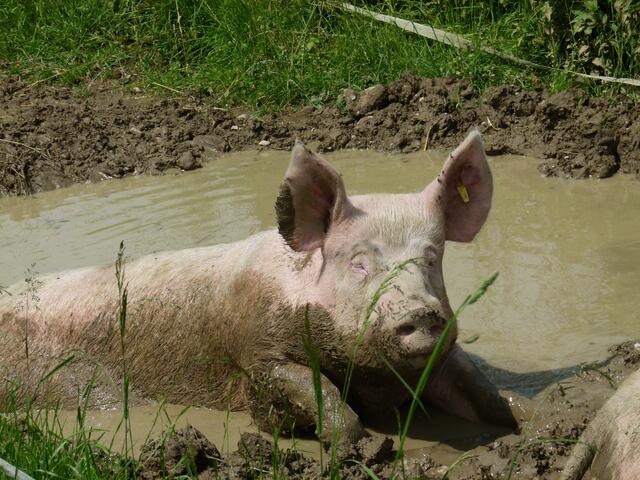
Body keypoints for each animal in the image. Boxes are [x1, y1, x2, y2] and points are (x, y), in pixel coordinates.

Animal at [0, 131, 516, 453]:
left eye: (431, 258)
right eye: (359, 262)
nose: (422, 313)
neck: (371, 377)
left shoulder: (438, 360)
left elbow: (485, 395)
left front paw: (516, 428)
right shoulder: (256, 353)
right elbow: (316, 392)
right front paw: (358, 446)